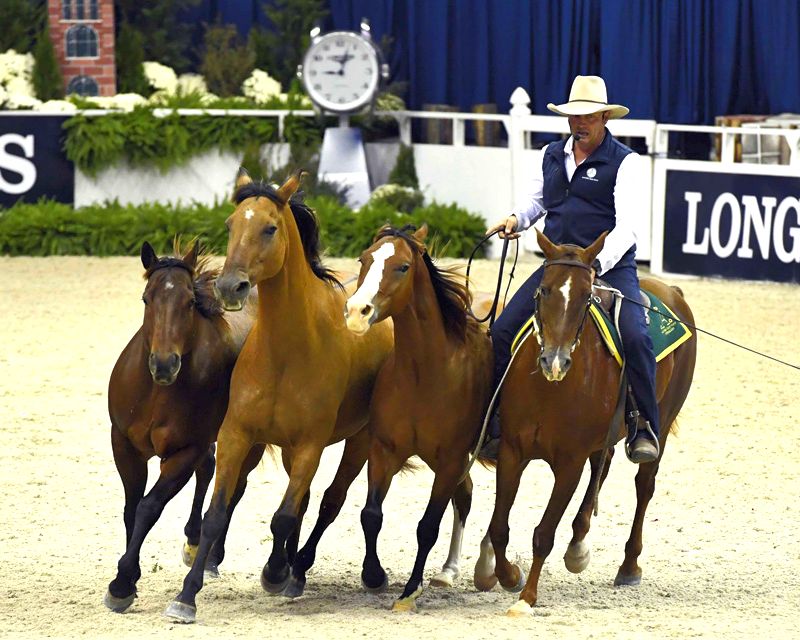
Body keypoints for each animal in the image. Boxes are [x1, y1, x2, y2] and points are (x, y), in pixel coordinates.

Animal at [104, 239, 258, 613]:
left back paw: (210, 554)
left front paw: (121, 583)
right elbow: (131, 508)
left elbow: (148, 507)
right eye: (147, 298)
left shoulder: (183, 453)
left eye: (189, 301)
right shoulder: (124, 445)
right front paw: (129, 578)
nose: (163, 364)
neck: (157, 393)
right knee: (210, 469)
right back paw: (194, 542)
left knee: (234, 487)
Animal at [165, 169, 394, 623]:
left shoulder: (310, 445)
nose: (230, 286)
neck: (286, 351)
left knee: (331, 502)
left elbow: (284, 516)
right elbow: (218, 512)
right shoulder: (237, 436)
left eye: (269, 228)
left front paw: (274, 574)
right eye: (230, 225)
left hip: (359, 442)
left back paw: (312, 570)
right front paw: (187, 596)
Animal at [344, 224, 494, 612]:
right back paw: (447, 571)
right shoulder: (384, 451)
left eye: (402, 267)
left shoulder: (450, 460)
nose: (356, 311)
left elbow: (427, 526)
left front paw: (410, 590)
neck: (423, 373)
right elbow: (371, 515)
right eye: (363, 259)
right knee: (466, 495)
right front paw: (373, 575)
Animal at [473, 229, 697, 616]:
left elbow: (544, 534)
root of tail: (673, 293)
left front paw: (526, 597)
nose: (555, 361)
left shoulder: (569, 463)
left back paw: (628, 566)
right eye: (544, 289)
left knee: (644, 486)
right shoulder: (513, 452)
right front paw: (507, 575)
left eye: (585, 296)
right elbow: (500, 525)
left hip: (663, 424)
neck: (549, 389)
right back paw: (578, 544)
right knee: (602, 467)